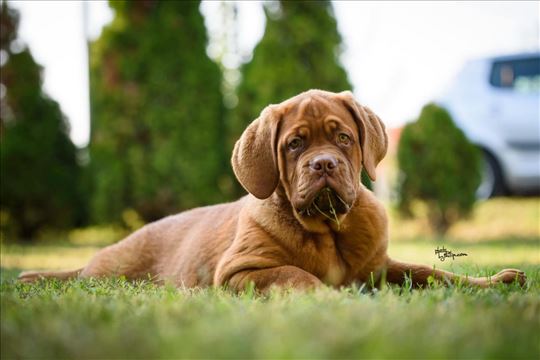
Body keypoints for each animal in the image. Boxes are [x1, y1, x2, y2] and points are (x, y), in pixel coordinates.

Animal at [19, 90, 524, 292]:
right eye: (295, 144)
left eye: (343, 138)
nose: (323, 164)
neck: (330, 230)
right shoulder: (240, 273)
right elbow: (296, 274)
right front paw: (329, 297)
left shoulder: (381, 267)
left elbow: (433, 273)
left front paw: (492, 282)